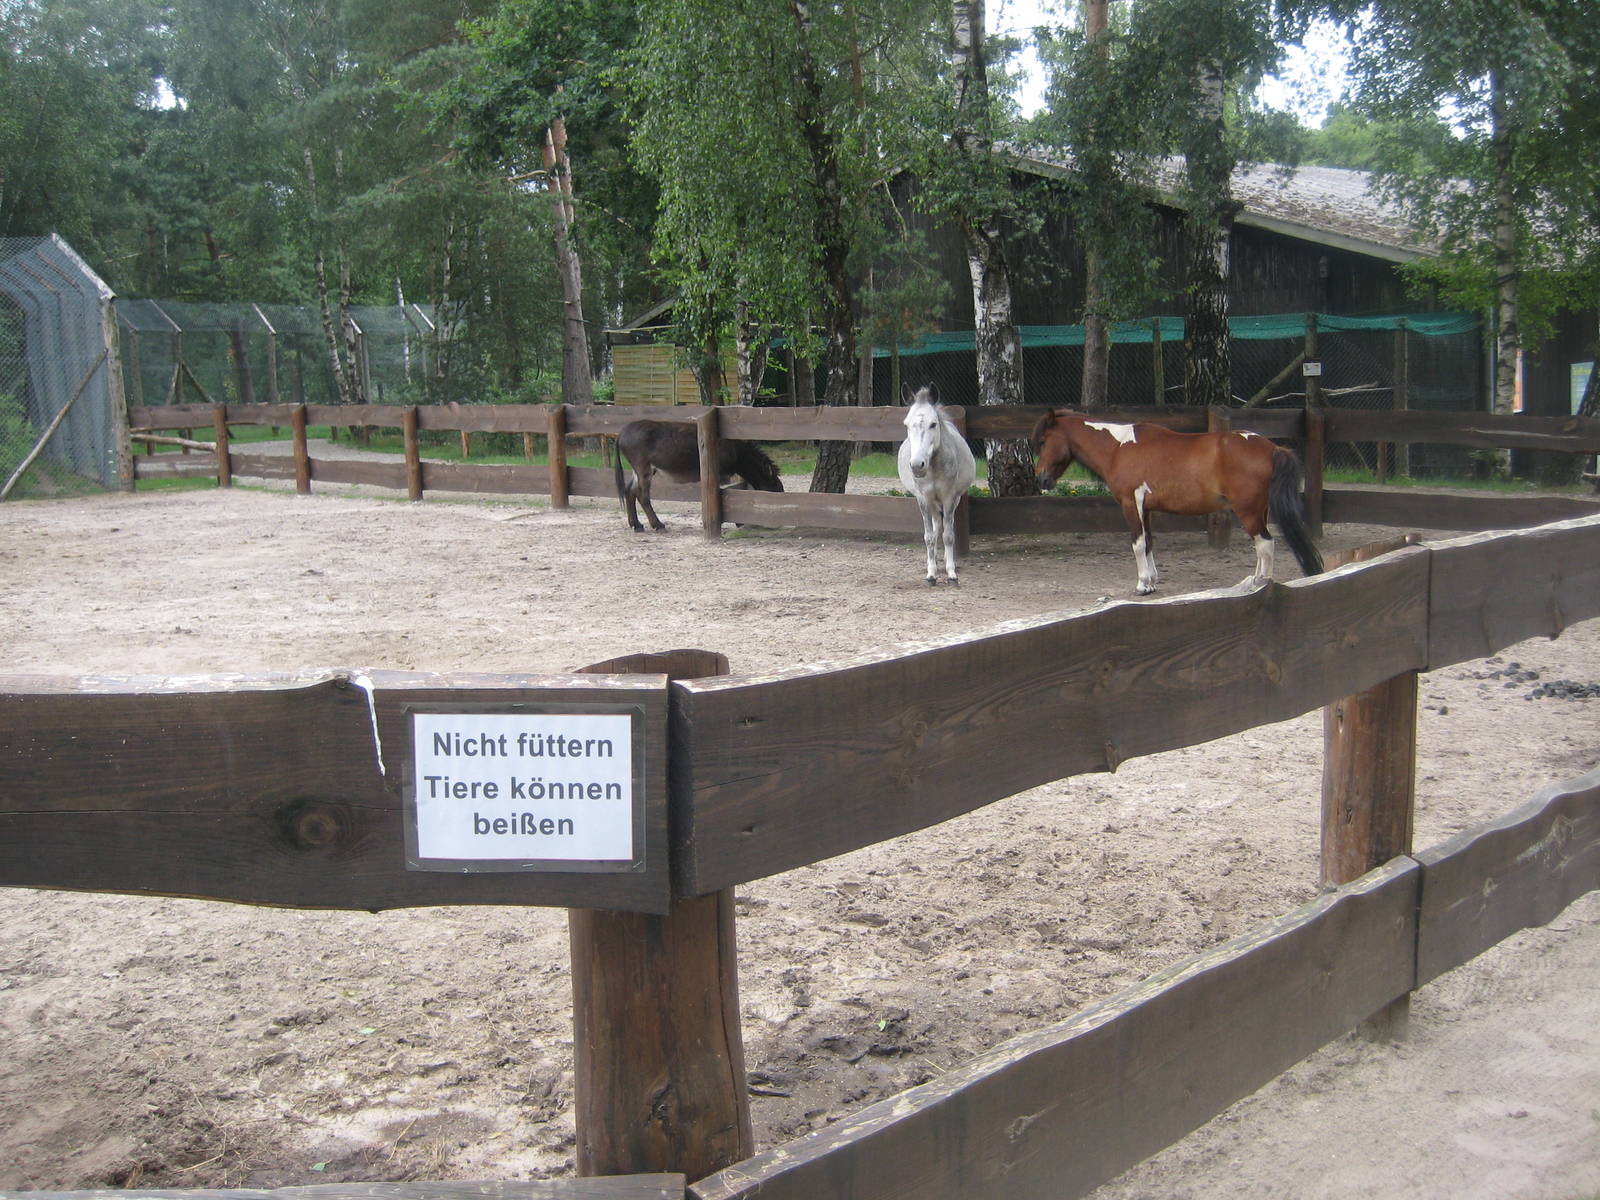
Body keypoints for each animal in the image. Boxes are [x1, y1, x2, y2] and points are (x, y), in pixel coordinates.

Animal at [613, 418, 784, 532]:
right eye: (776, 489)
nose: (779, 524)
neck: (738, 453)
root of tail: (621, 433)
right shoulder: (720, 474)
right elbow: (720, 495)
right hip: (644, 469)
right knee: (642, 496)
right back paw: (658, 525)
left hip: (639, 470)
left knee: (630, 491)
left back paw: (636, 525)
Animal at [897, 383, 977, 586]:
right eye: (906, 424)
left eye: (933, 424)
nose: (917, 465)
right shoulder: (923, 499)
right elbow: (929, 537)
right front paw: (931, 574)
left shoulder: (949, 498)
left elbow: (948, 536)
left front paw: (951, 574)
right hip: (932, 503)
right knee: (936, 528)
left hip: (952, 501)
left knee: (946, 527)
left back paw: (949, 561)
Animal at [1030, 409, 1324, 595]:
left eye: (1043, 441)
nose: (1041, 478)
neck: (1118, 448)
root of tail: (1272, 447)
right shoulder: (1146, 509)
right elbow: (1149, 542)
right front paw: (1152, 582)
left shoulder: (1131, 504)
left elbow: (1138, 544)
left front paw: (1142, 585)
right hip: (1259, 511)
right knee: (1262, 545)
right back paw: (1254, 580)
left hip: (1248, 511)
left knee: (1265, 544)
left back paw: (1261, 583)